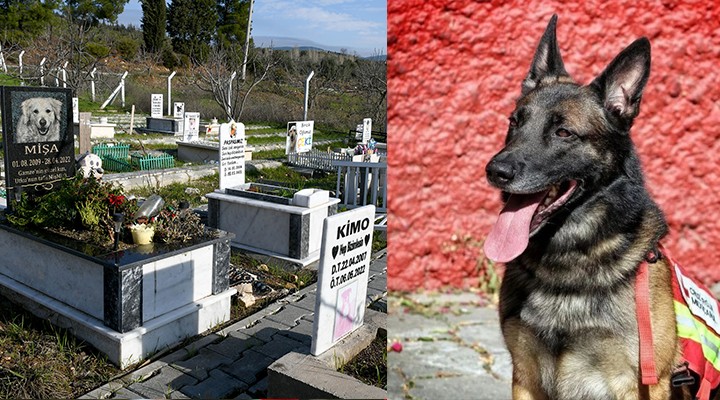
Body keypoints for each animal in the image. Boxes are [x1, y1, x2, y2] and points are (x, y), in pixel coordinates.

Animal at [480, 15, 704, 400]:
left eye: (564, 133)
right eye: (515, 122)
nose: (496, 171)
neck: (566, 266)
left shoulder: (641, 383)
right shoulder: (525, 378)